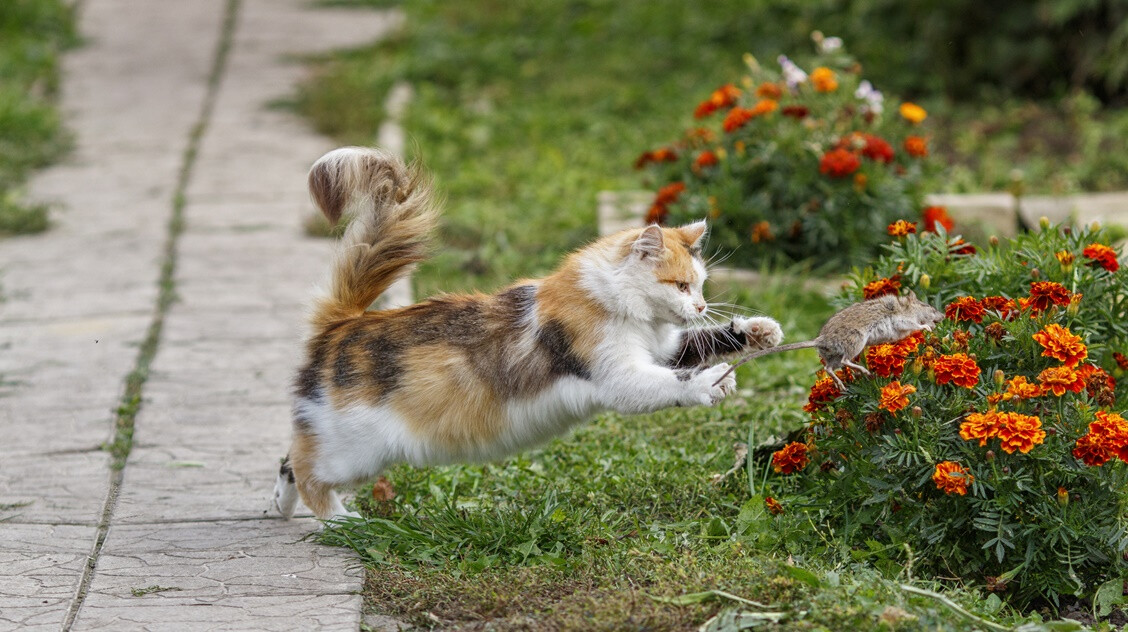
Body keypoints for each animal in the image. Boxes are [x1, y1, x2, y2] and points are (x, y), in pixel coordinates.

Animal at [272, 146, 785, 519]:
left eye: (700, 285)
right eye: (681, 285)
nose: (699, 304)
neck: (630, 313)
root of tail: (344, 322)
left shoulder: (662, 349)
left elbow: (702, 343)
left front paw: (759, 331)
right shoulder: (620, 376)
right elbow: (675, 380)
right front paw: (712, 383)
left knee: (290, 460)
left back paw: (281, 506)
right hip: (357, 451)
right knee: (306, 468)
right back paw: (343, 522)